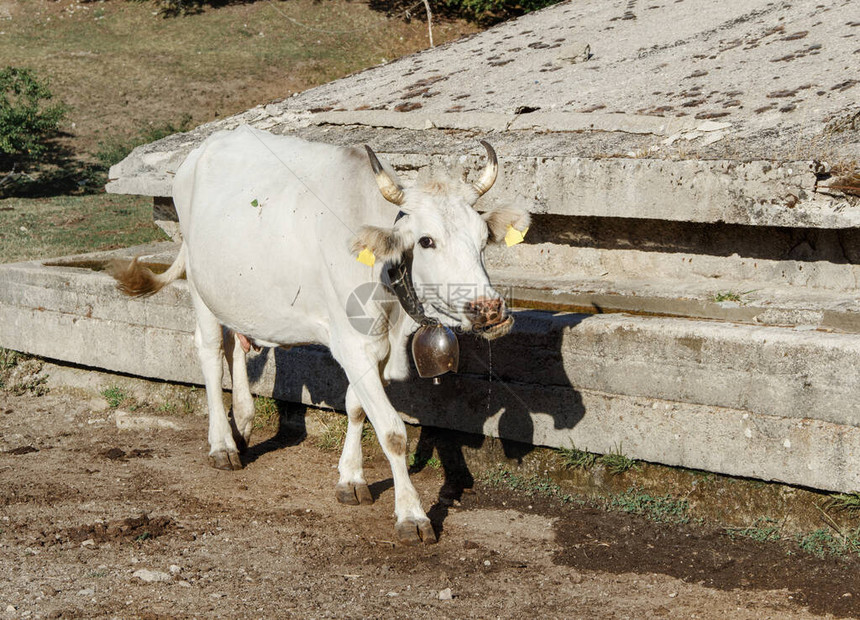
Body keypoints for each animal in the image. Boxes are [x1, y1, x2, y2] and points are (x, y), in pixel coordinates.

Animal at [112, 124, 532, 544]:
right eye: (426, 241)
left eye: (483, 239)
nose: (489, 309)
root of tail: (206, 146)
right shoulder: (355, 344)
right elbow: (392, 432)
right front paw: (411, 515)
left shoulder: (373, 349)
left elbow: (356, 408)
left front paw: (351, 479)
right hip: (201, 287)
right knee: (211, 351)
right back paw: (222, 446)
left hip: (234, 293)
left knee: (236, 344)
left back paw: (243, 425)